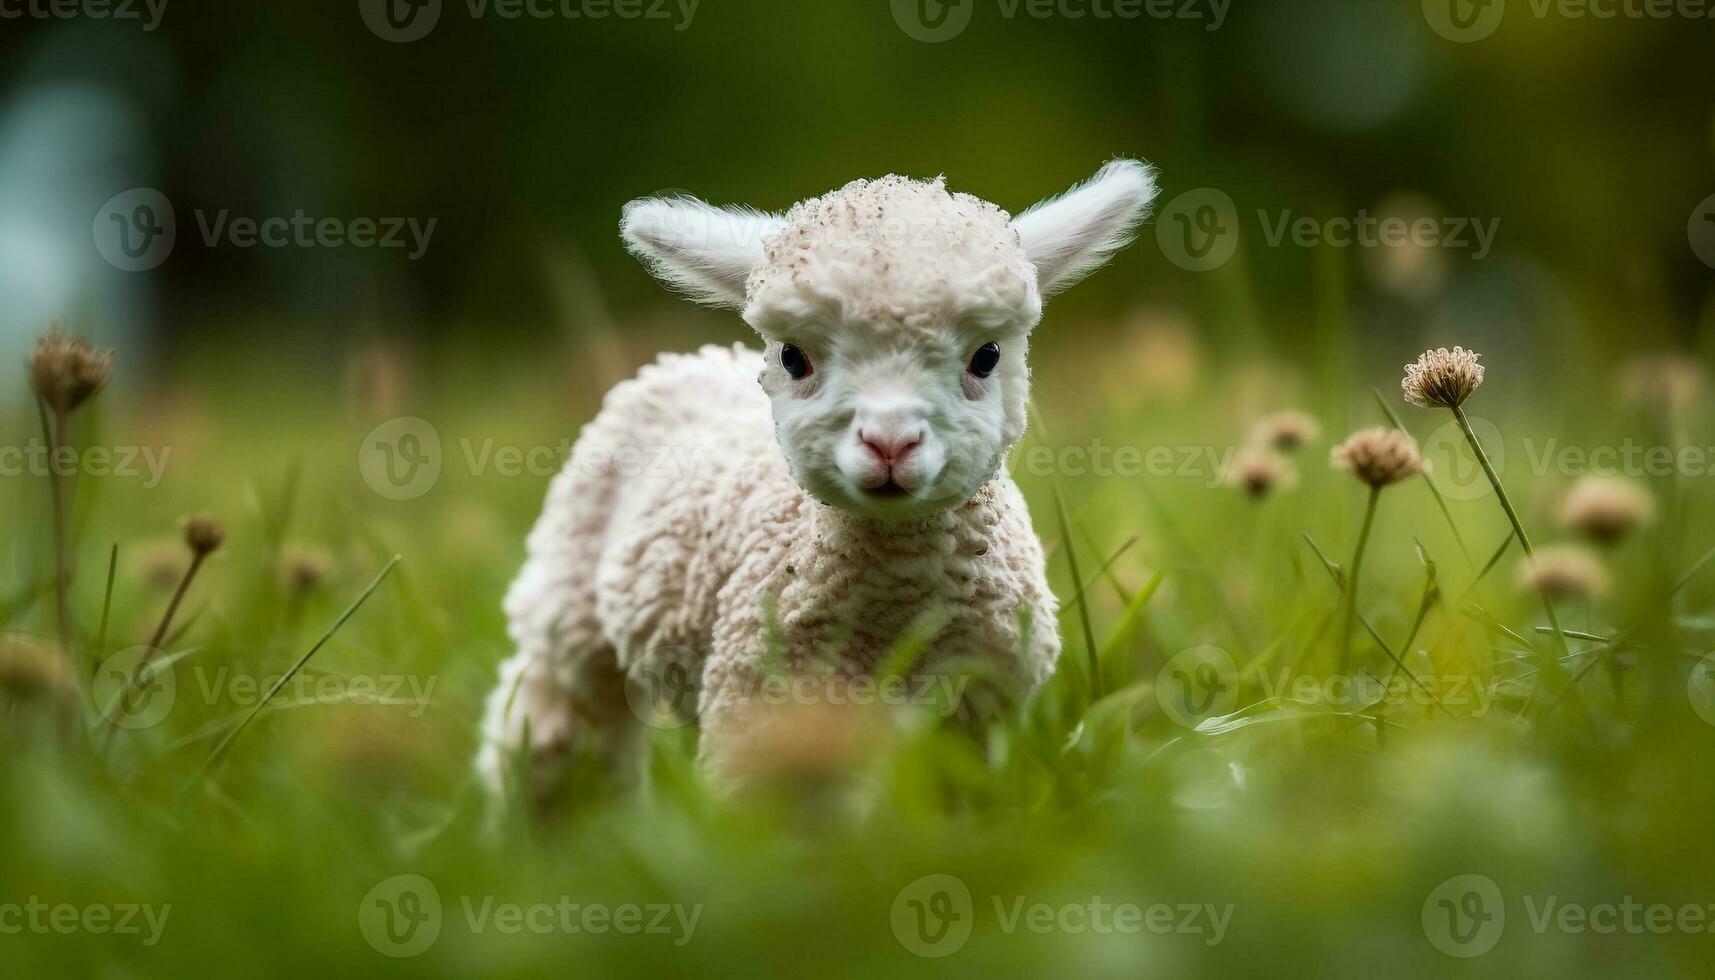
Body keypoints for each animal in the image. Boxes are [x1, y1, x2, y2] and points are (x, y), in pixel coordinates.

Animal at [476, 158, 1159, 806]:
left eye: (986, 356)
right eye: (793, 357)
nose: (890, 444)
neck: (896, 603)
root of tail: (696, 358)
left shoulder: (978, 703)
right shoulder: (772, 704)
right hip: (570, 588)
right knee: (558, 718)